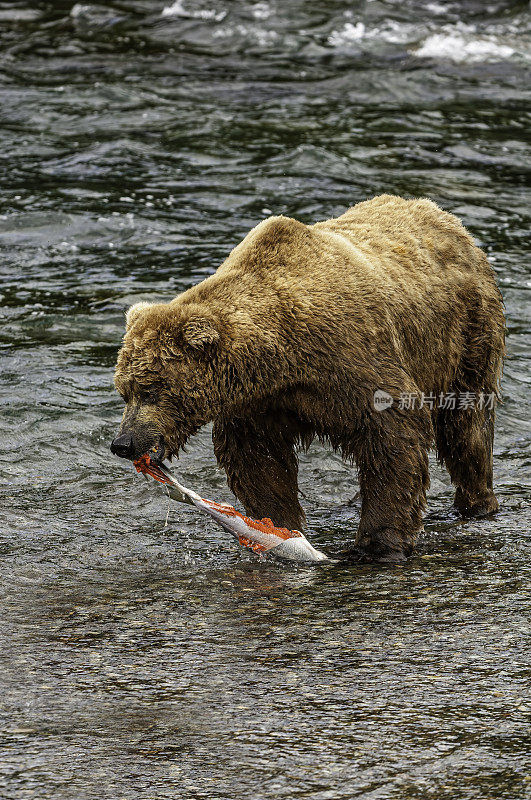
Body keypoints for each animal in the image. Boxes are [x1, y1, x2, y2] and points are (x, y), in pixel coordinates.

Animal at [113, 196, 508, 560]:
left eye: (150, 390)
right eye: (124, 391)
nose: (123, 443)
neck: (281, 354)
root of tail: (444, 216)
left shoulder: (353, 362)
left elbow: (394, 434)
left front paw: (378, 542)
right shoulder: (260, 403)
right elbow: (258, 461)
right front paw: (277, 526)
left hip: (464, 336)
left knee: (468, 427)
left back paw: (477, 503)